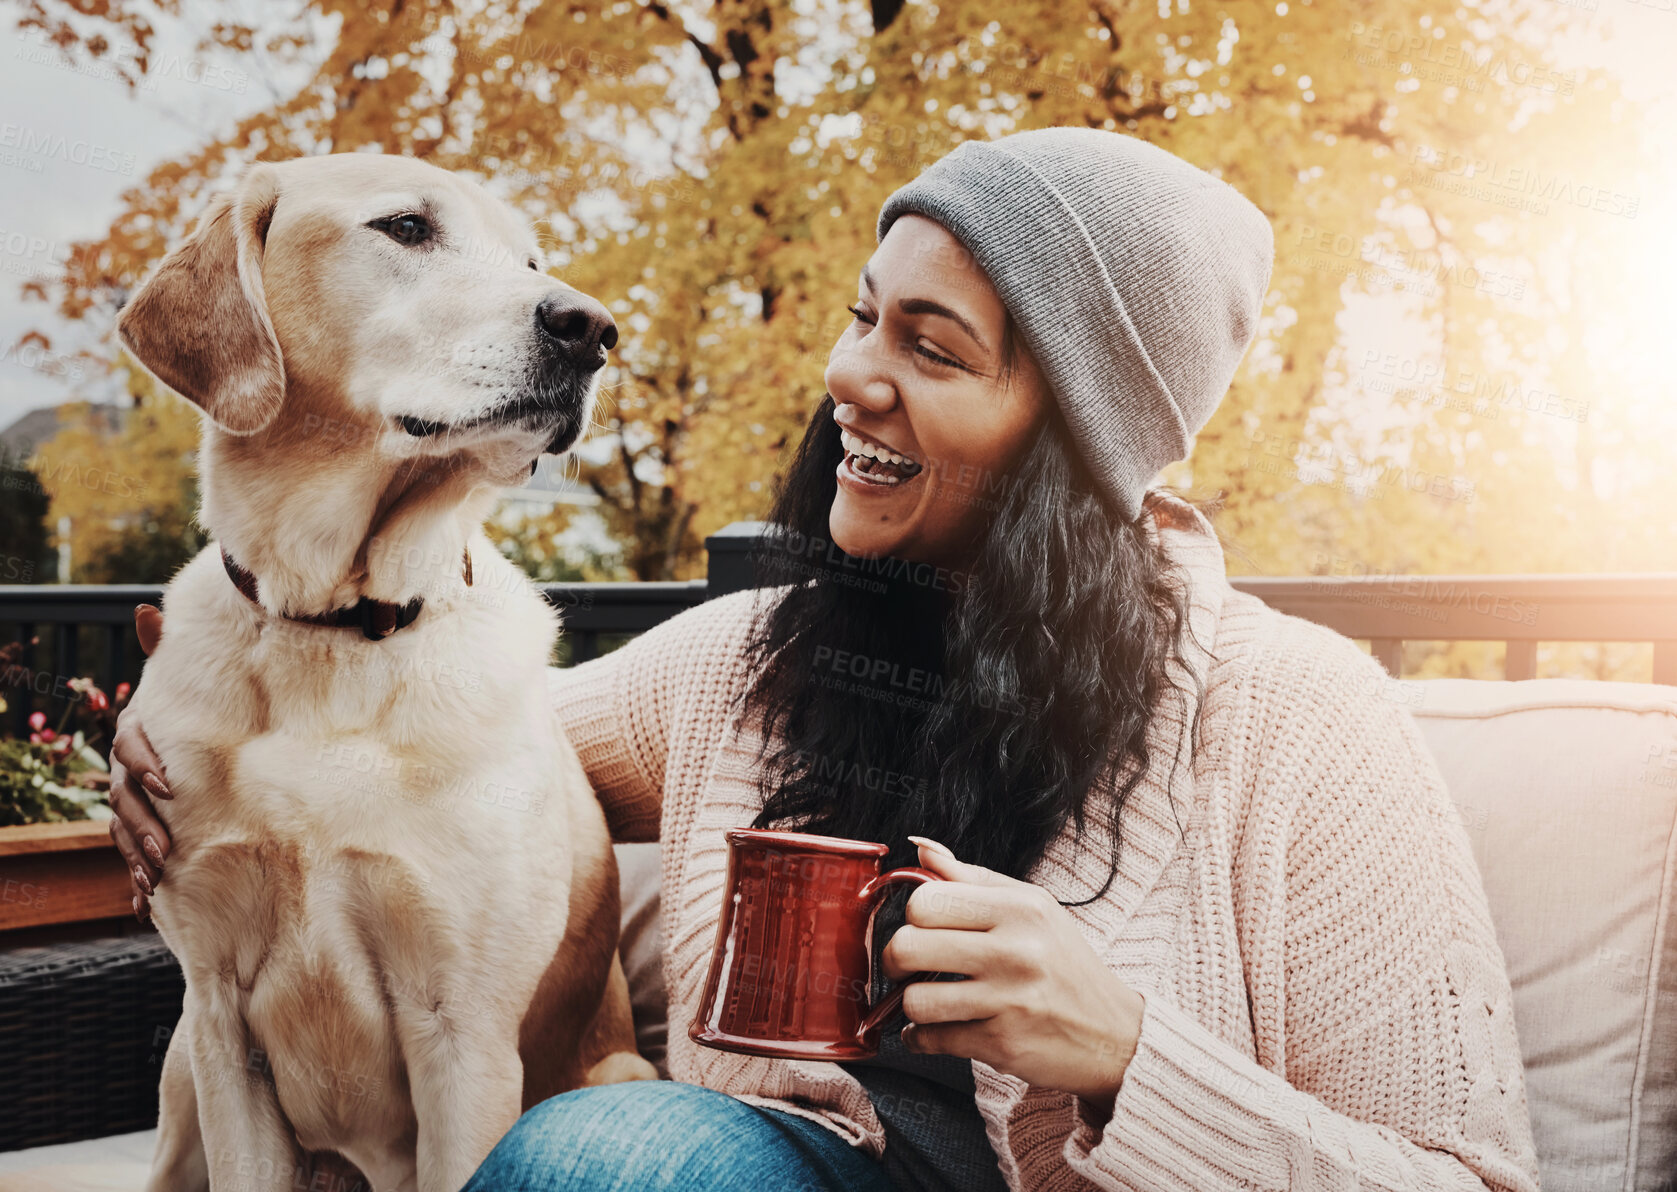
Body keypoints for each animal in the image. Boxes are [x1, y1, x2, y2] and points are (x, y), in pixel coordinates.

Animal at [111, 155, 654, 1192]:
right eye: (405, 227)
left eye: (532, 261)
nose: (593, 328)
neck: (331, 626)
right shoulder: (220, 1023)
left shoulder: (463, 1033)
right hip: (179, 1080)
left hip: (616, 1070)